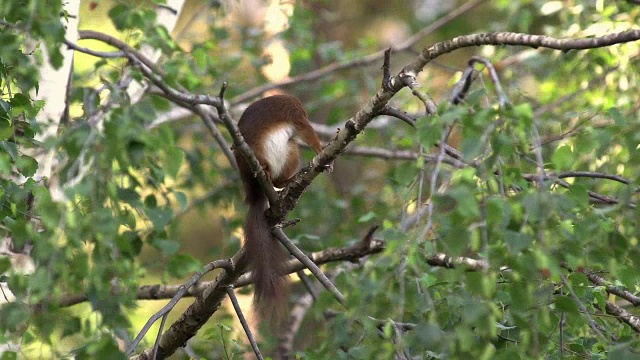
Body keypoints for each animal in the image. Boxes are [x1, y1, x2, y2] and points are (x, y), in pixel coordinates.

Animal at [234, 95, 324, 316]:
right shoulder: (296, 114)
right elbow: (307, 133)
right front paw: (321, 151)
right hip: (263, 152)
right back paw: (268, 171)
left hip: (289, 152)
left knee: (280, 175)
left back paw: (289, 180)